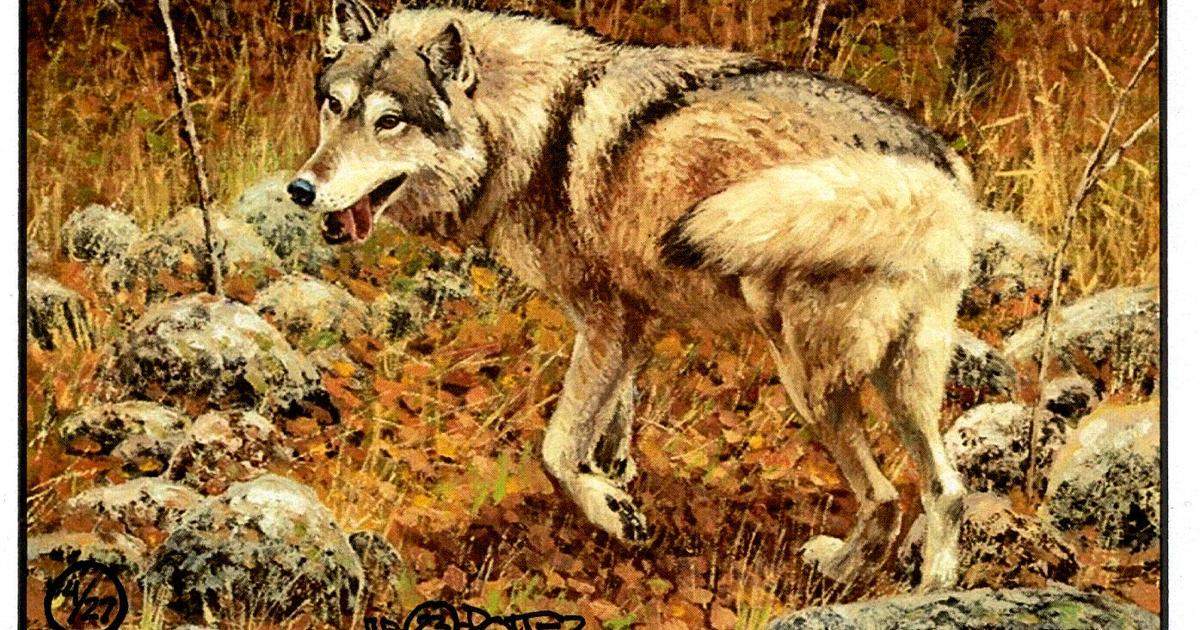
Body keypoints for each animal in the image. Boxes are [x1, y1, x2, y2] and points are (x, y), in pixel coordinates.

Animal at [290, 0, 978, 591]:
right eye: (332, 106)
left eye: (388, 122)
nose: (300, 189)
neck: (531, 133)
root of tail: (926, 175)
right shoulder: (626, 325)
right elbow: (612, 418)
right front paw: (615, 478)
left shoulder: (606, 320)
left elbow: (557, 449)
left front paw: (614, 514)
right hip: (902, 378)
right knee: (943, 489)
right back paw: (924, 587)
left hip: (809, 379)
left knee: (886, 495)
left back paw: (855, 573)